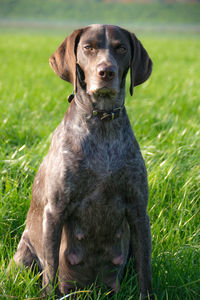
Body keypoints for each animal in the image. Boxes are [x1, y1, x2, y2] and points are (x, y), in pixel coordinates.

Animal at [11, 24, 153, 298]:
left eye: (121, 48)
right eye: (88, 47)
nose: (106, 72)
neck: (102, 120)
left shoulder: (138, 210)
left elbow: (145, 271)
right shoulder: (55, 211)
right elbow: (51, 271)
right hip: (23, 257)